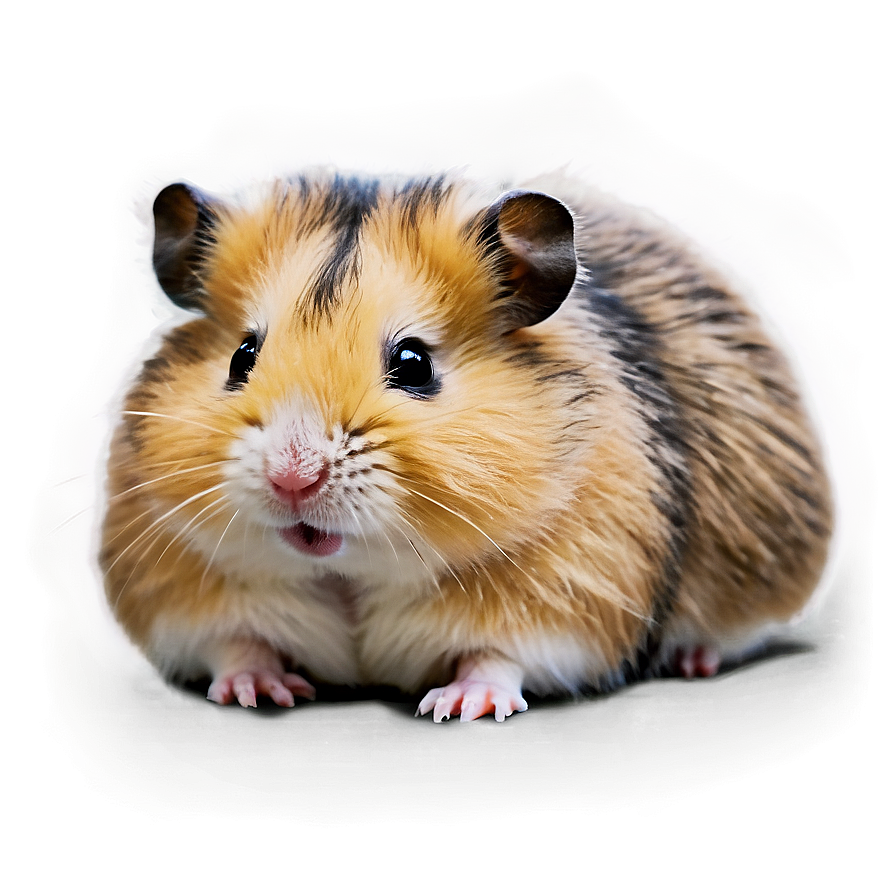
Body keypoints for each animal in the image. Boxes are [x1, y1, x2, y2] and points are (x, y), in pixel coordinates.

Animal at [93, 164, 837, 722]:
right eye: (241, 357)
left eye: (414, 363)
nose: (292, 477)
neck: (351, 577)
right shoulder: (181, 593)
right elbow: (236, 643)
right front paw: (259, 693)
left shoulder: (571, 603)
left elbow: (500, 659)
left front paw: (456, 705)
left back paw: (693, 659)